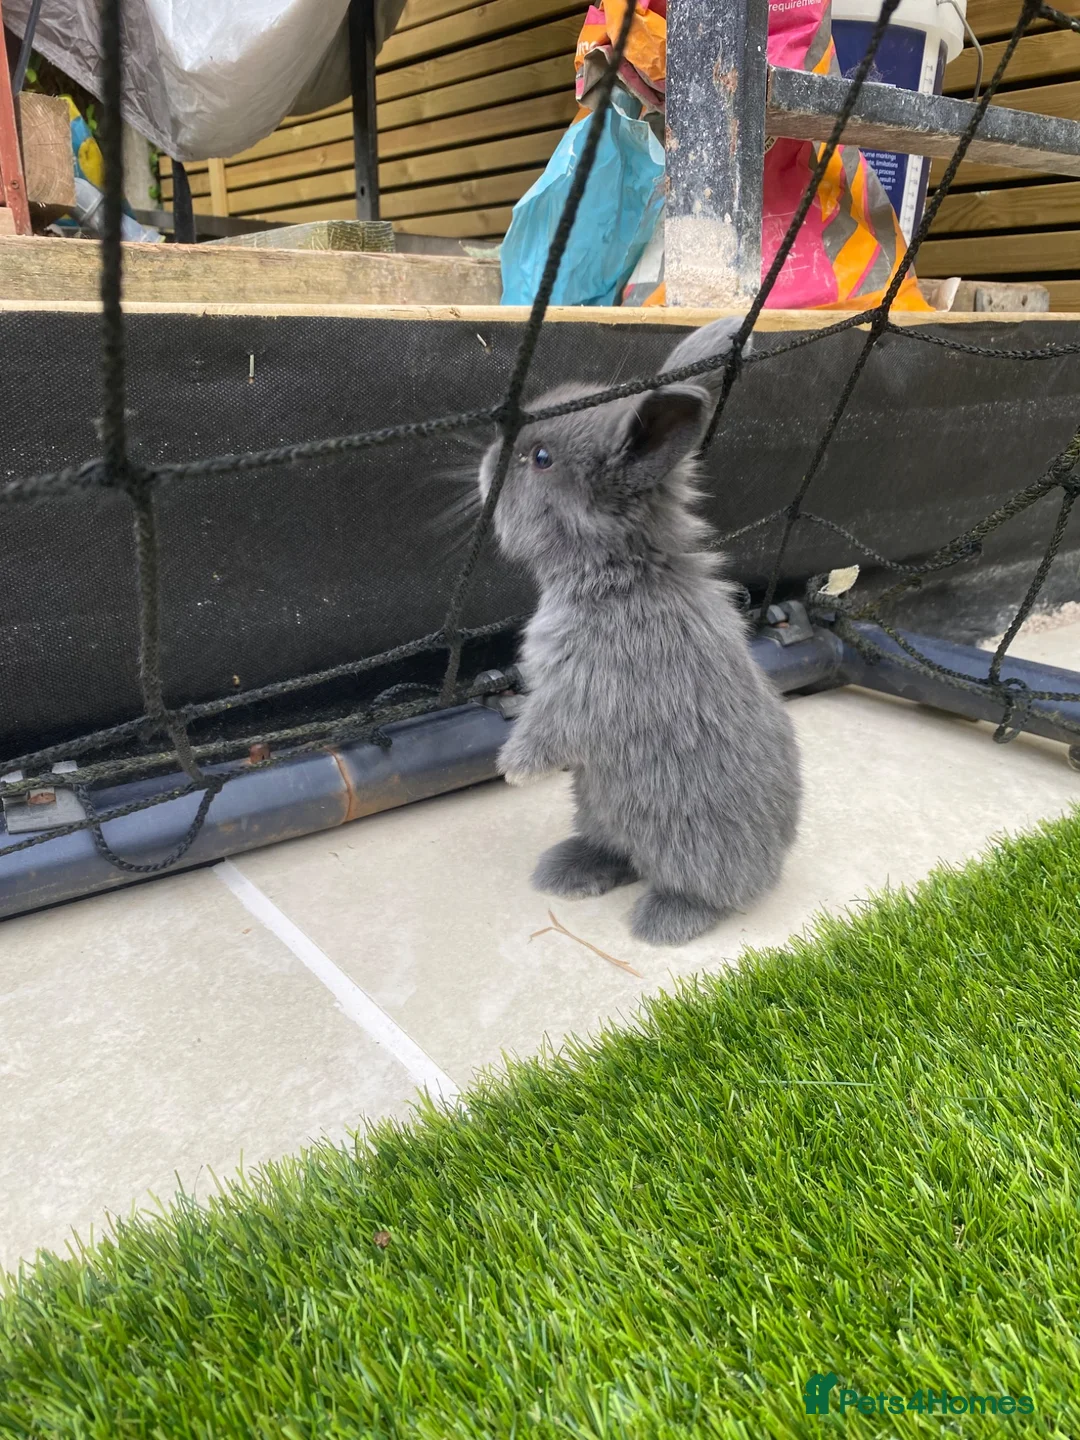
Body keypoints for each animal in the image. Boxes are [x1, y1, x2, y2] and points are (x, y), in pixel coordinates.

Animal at [477, 317, 801, 946]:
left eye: (541, 457)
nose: (487, 463)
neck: (621, 575)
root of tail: (773, 866)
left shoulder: (583, 686)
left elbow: (546, 728)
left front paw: (514, 771)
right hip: (597, 807)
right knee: (619, 855)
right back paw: (565, 872)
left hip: (685, 844)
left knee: (700, 891)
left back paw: (662, 923)